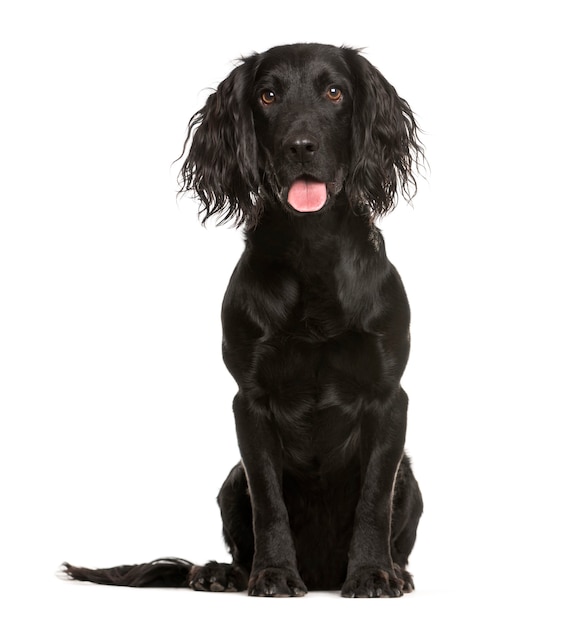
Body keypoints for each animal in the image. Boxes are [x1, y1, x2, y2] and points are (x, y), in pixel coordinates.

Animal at [64, 41, 426, 596]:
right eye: (268, 95)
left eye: (335, 91)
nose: (301, 146)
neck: (311, 251)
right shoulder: (250, 402)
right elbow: (268, 501)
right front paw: (273, 573)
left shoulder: (388, 397)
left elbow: (373, 502)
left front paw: (371, 574)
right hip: (229, 481)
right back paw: (223, 572)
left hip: (411, 480)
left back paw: (396, 572)